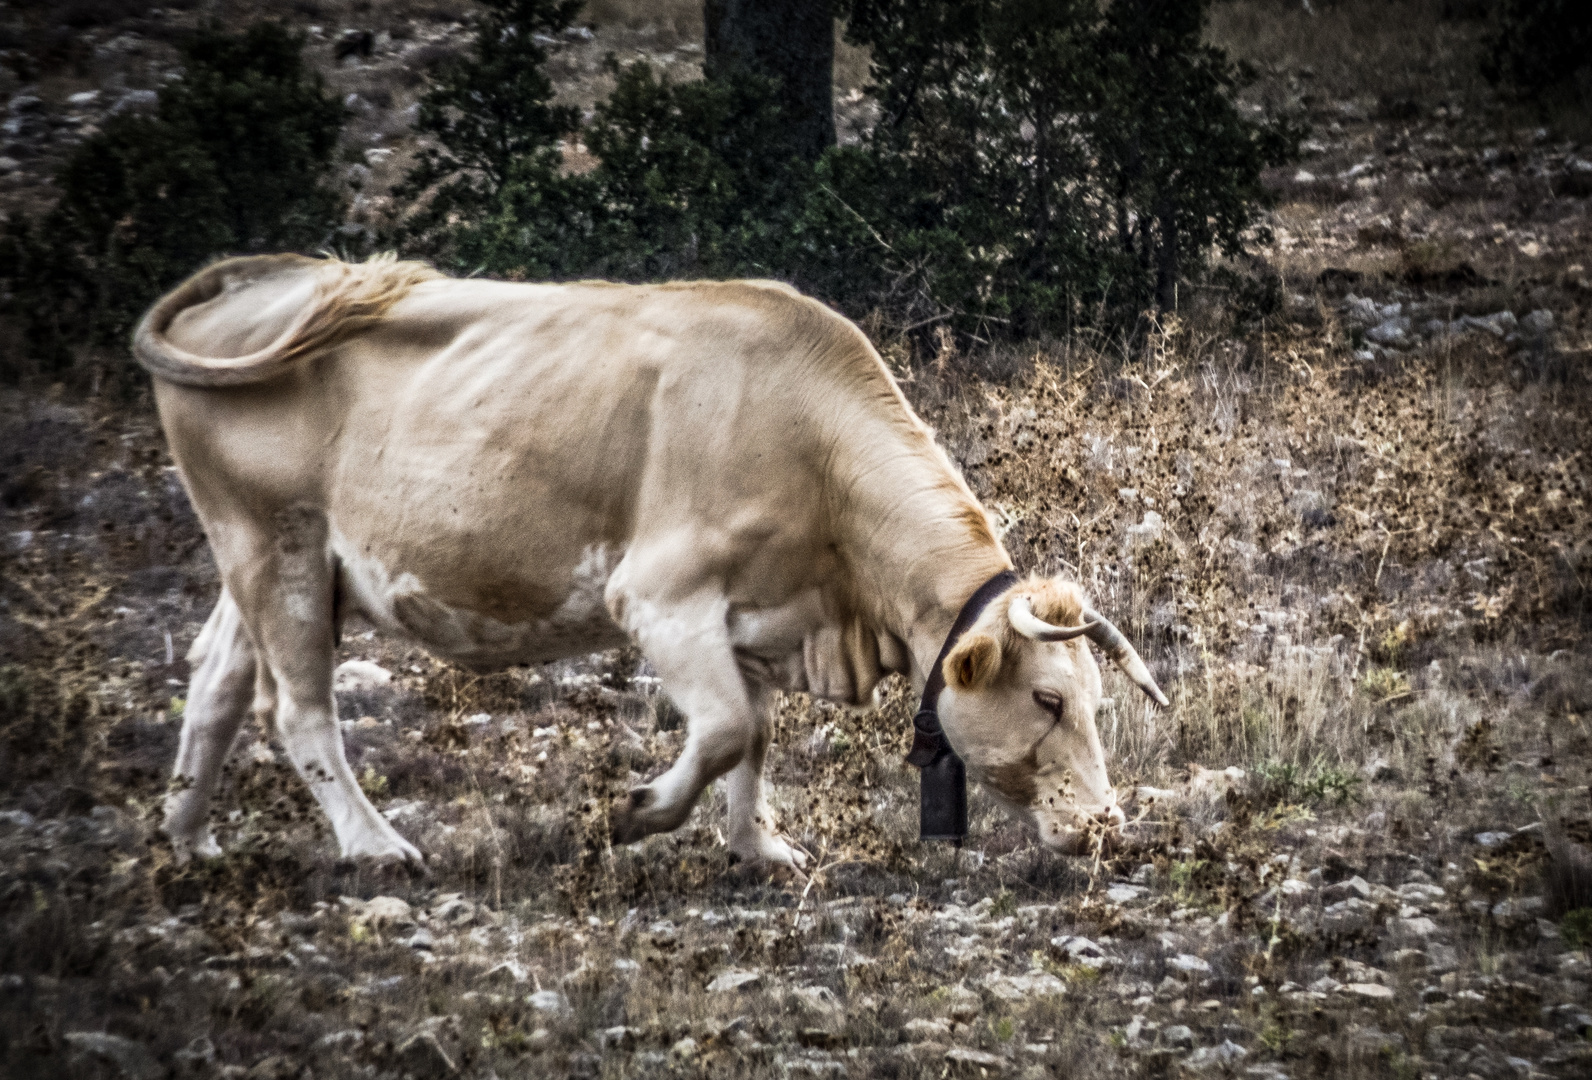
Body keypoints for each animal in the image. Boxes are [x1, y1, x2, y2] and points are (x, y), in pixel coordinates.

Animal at [136, 258, 1165, 885]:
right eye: (1047, 700)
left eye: (1095, 699)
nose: (1108, 827)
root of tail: (265, 283)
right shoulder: (661, 599)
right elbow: (723, 732)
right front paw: (634, 814)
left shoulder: (759, 621)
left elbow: (754, 738)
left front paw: (760, 846)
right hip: (277, 546)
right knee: (295, 707)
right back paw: (376, 845)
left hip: (264, 560)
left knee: (216, 679)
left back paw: (188, 841)